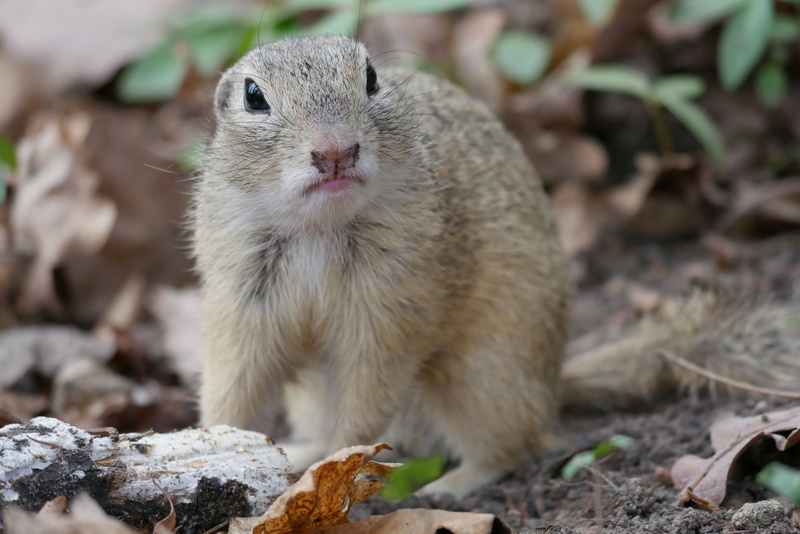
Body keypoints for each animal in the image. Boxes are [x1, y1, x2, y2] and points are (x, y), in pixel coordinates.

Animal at [191, 35, 800, 497]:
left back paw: (447, 486)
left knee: (511, 446)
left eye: (370, 77)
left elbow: (370, 394)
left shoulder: (390, 310)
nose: (336, 151)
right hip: (321, 396)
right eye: (253, 96)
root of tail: (552, 385)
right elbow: (233, 386)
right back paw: (302, 451)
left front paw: (341, 466)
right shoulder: (241, 304)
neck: (320, 226)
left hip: (478, 378)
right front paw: (216, 445)